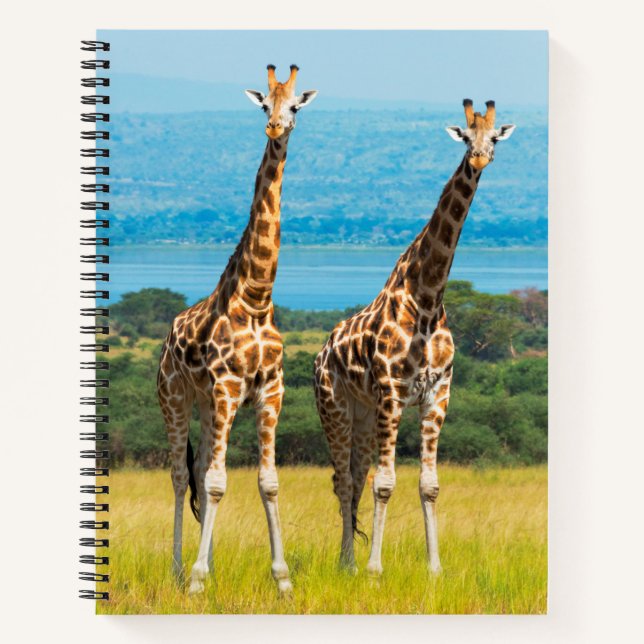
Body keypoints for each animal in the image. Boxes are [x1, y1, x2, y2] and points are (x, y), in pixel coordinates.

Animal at [157, 64, 318, 595]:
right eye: (264, 104)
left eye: (294, 106)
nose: (275, 128)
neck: (256, 298)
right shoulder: (228, 387)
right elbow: (215, 483)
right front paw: (198, 580)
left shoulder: (270, 391)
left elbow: (266, 481)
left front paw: (283, 580)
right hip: (176, 398)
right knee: (181, 476)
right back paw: (180, 569)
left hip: (209, 407)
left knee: (201, 469)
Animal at [314, 100, 515, 575]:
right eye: (466, 136)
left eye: (495, 137)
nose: (480, 158)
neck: (426, 297)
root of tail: (320, 353)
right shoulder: (392, 390)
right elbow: (385, 483)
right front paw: (374, 570)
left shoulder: (437, 393)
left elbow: (429, 484)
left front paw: (435, 569)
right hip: (336, 407)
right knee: (344, 480)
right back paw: (349, 565)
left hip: (365, 415)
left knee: (354, 477)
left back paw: (349, 561)